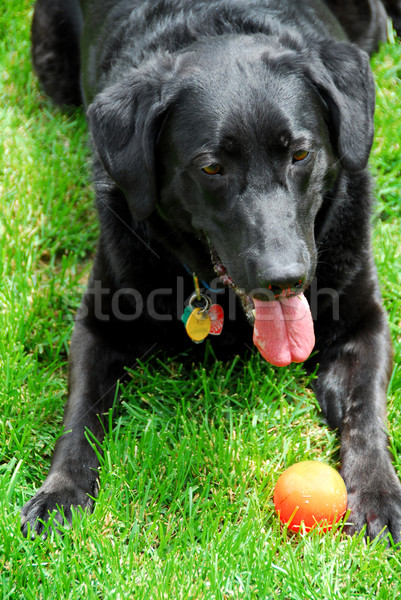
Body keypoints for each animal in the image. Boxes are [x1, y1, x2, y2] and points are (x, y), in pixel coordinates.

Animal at [21, 0, 400, 544]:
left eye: (300, 154)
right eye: (212, 168)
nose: (285, 278)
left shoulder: (366, 320)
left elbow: (367, 411)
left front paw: (377, 492)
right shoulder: (96, 325)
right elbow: (79, 415)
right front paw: (61, 491)